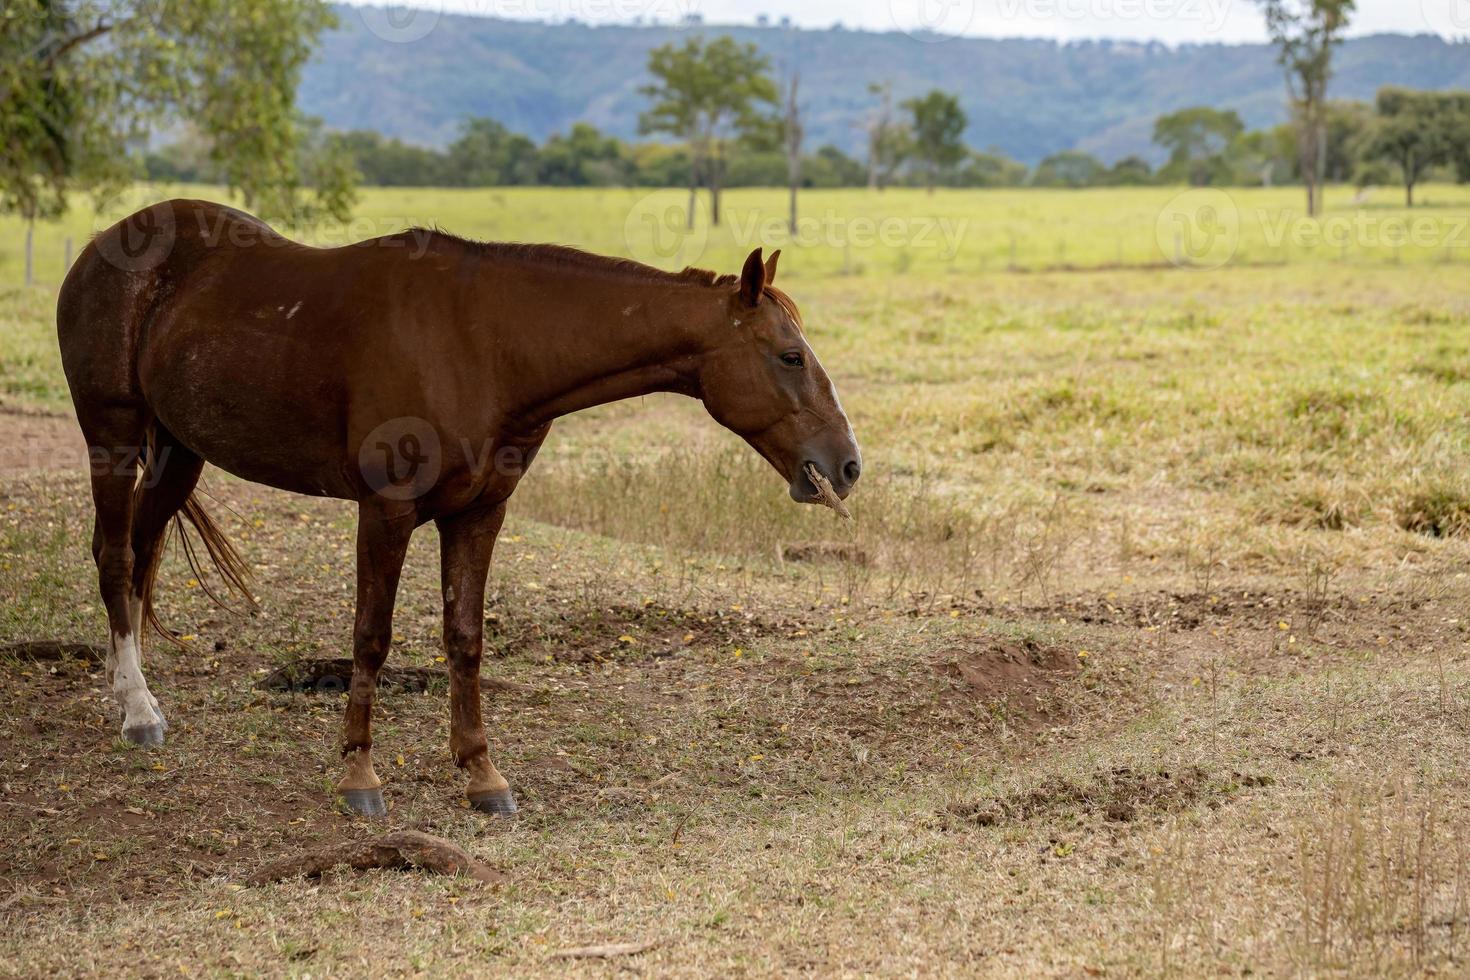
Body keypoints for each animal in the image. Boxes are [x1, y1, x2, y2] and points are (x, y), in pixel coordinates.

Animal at [60, 196, 858, 811]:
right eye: (790, 355)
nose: (845, 465)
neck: (486, 345)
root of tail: (105, 245)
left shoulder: (478, 514)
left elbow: (465, 639)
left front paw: (481, 773)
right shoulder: (384, 512)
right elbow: (371, 638)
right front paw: (359, 774)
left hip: (178, 453)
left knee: (140, 555)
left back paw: (135, 692)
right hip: (113, 438)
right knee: (114, 556)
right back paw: (136, 712)